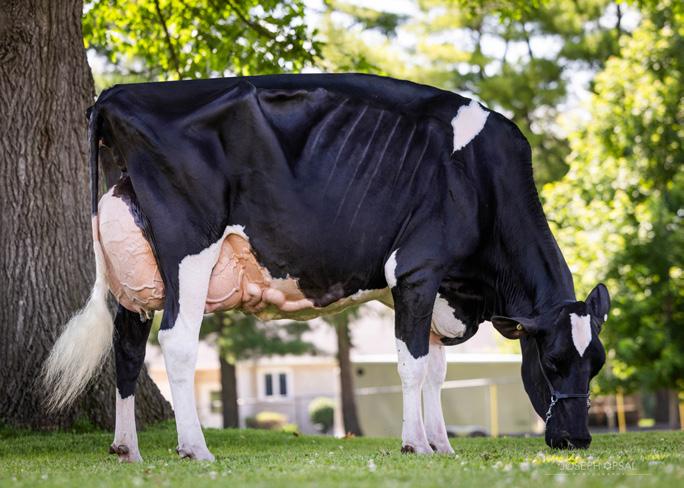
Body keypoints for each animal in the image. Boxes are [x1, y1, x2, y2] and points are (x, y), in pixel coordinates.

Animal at [43, 73, 610, 462]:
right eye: (552, 360)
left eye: (597, 363)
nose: (578, 439)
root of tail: (116, 94)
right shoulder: (418, 270)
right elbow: (412, 365)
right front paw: (414, 444)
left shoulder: (438, 291)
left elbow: (435, 372)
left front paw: (442, 444)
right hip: (188, 248)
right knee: (177, 342)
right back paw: (195, 448)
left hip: (136, 273)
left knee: (127, 349)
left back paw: (127, 450)